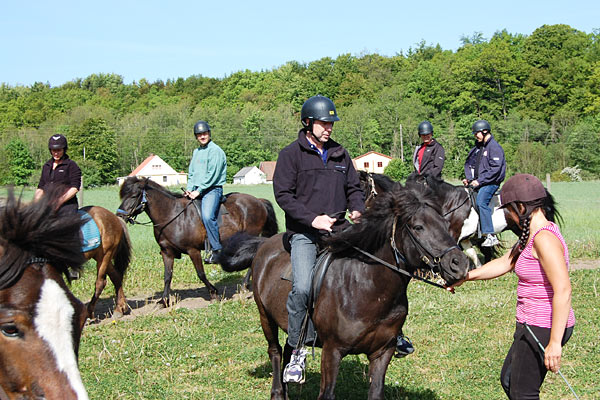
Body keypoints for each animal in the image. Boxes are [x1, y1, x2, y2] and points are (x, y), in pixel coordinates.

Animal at [117, 177, 278, 304]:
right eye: (123, 196)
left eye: (134, 195)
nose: (120, 216)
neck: (172, 215)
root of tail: (258, 201)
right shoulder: (166, 252)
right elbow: (167, 276)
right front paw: (164, 300)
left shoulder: (193, 250)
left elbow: (201, 274)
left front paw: (214, 293)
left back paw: (244, 285)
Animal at [220, 183, 468, 398]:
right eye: (418, 227)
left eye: (445, 224)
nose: (460, 264)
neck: (367, 288)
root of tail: (263, 245)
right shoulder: (332, 351)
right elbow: (327, 394)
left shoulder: (383, 352)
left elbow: (376, 392)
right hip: (265, 316)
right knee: (275, 351)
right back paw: (278, 392)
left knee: (291, 347)